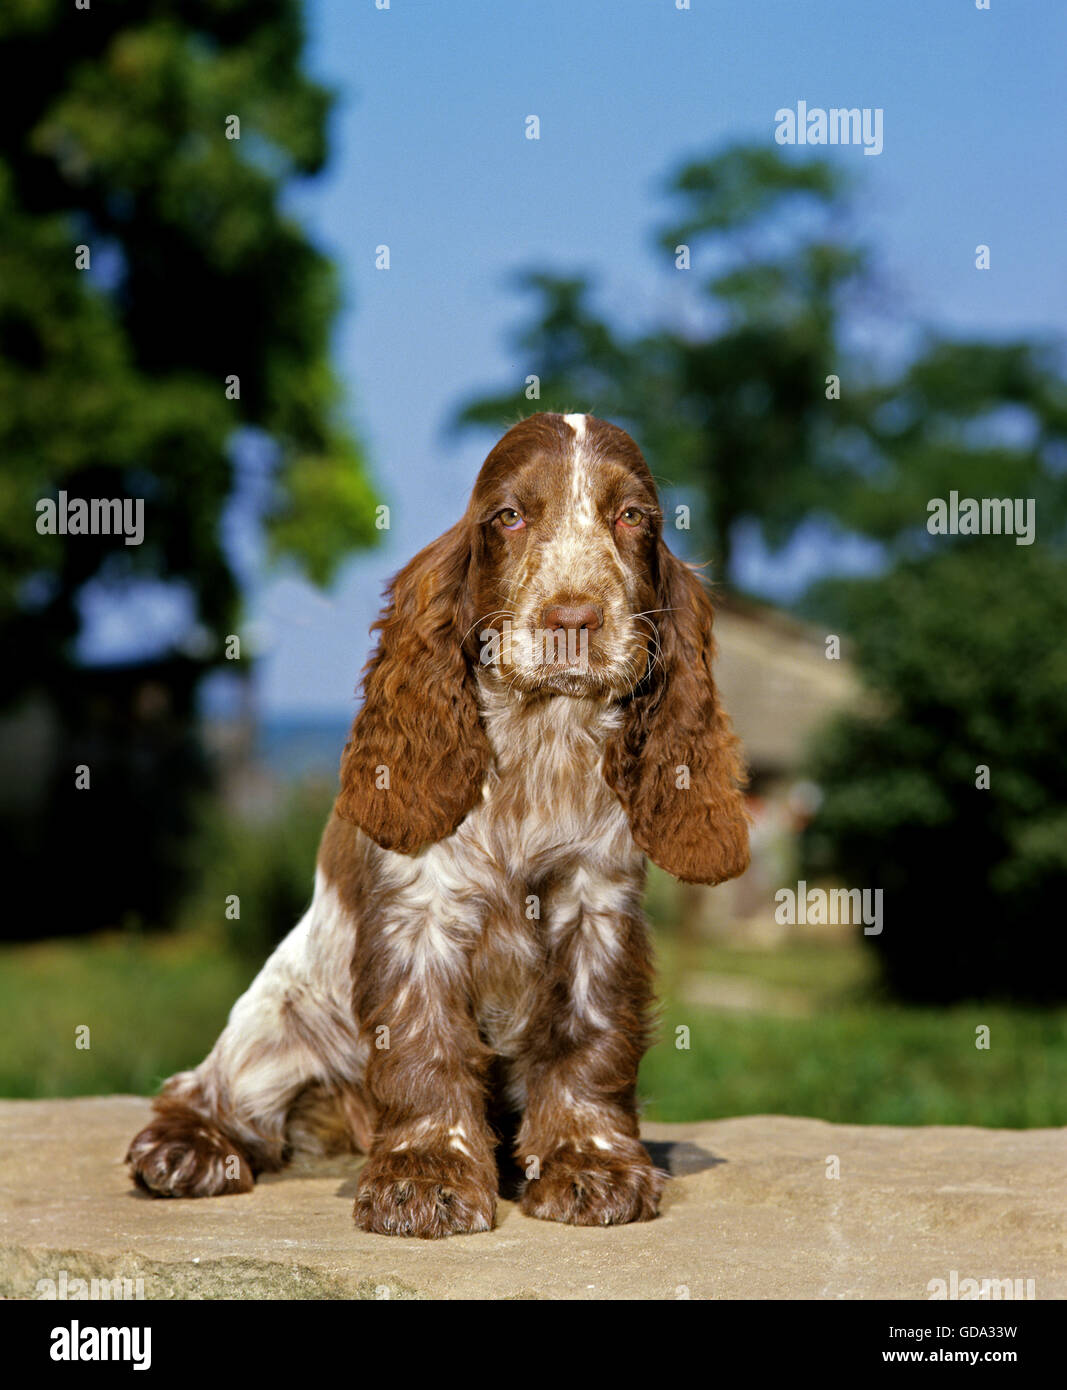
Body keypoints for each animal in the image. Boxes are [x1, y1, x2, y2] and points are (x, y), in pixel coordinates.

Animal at [127, 408, 750, 1239]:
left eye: (631, 518)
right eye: (509, 516)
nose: (573, 620)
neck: (540, 741)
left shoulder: (599, 909)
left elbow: (589, 1042)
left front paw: (590, 1163)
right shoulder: (416, 913)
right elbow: (425, 1047)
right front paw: (425, 1176)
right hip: (273, 1023)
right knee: (207, 1089)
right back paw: (187, 1150)